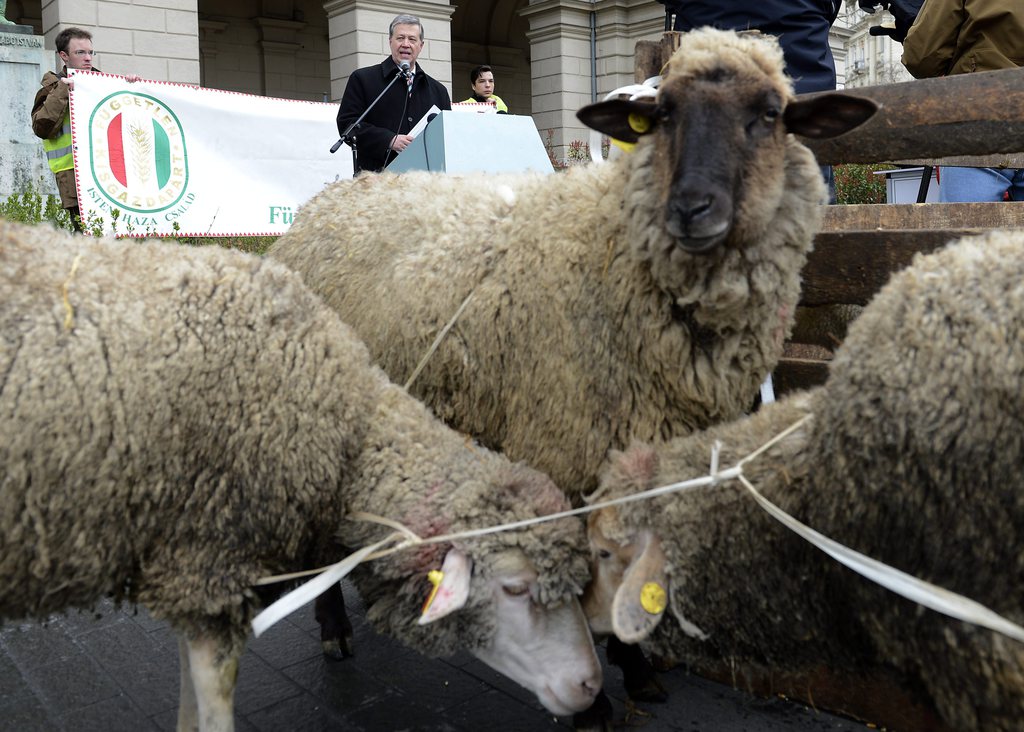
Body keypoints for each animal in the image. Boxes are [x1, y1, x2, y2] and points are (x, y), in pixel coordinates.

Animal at [0, 222, 602, 732]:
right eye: (515, 588)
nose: (590, 685)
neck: (344, 432)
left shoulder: (189, 568)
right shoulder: (210, 557)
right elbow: (212, 700)